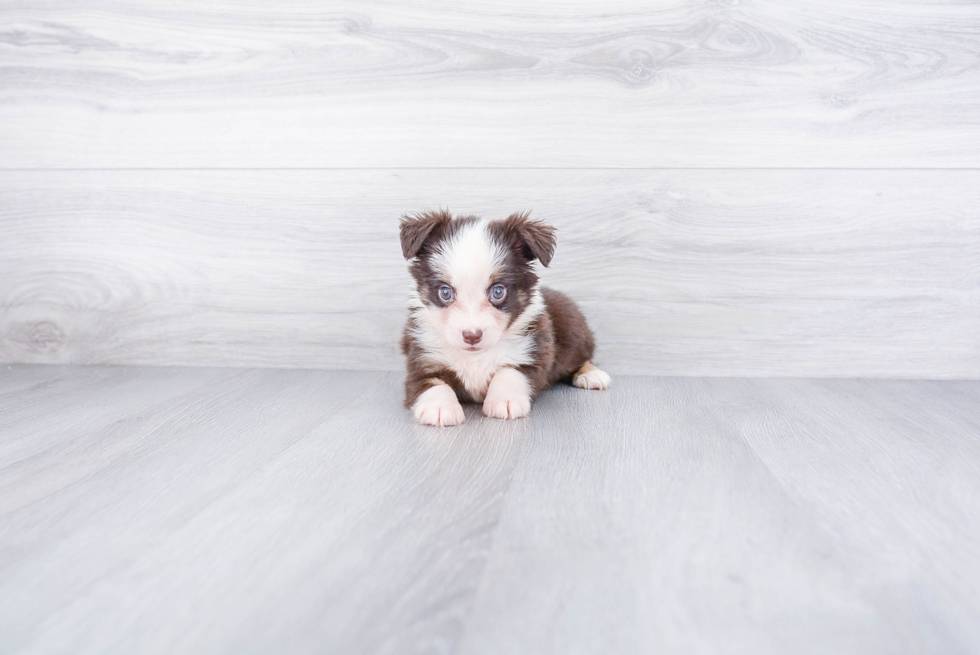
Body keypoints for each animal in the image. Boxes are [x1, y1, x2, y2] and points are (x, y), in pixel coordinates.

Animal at [398, 208, 612, 428]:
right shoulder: (423, 359)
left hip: (573, 326)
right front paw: (440, 407)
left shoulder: (532, 354)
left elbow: (509, 371)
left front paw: (505, 400)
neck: (476, 355)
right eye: (445, 292)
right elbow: (432, 383)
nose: (472, 335)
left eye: (498, 291)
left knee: (582, 357)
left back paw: (592, 374)